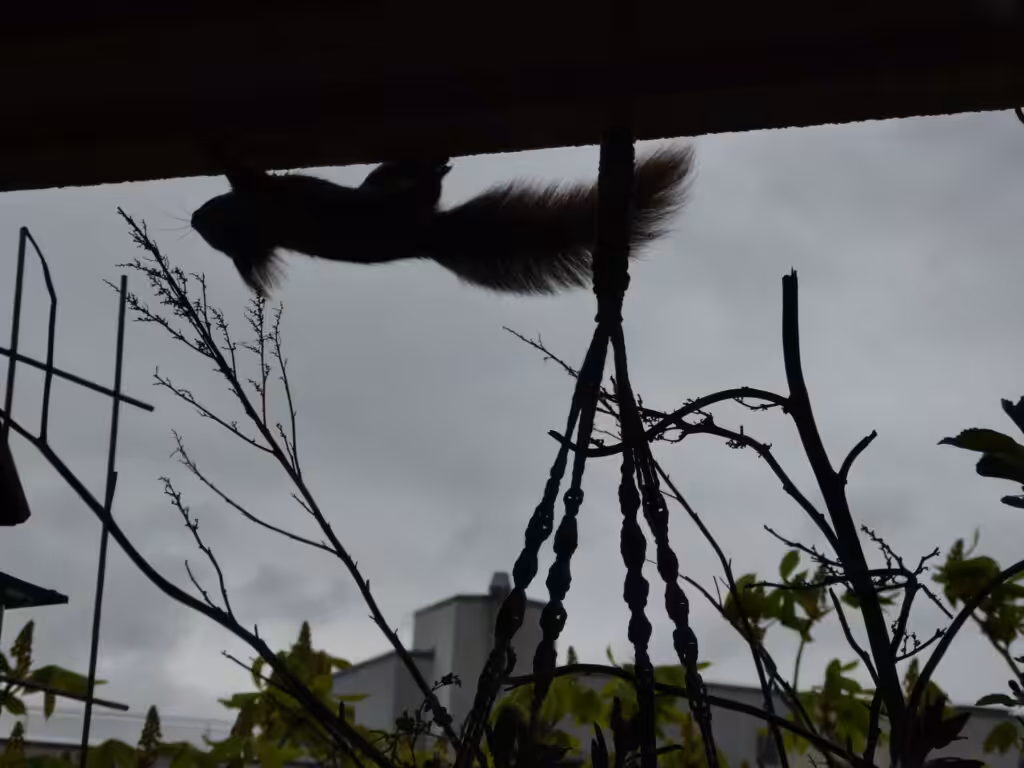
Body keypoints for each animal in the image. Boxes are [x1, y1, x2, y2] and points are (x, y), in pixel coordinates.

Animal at [190, 146, 694, 297]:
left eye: (211, 216)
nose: (195, 218)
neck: (264, 225)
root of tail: (428, 237)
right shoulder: (266, 198)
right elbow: (245, 172)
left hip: (380, 183)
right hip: (395, 199)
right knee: (421, 183)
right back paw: (436, 165)